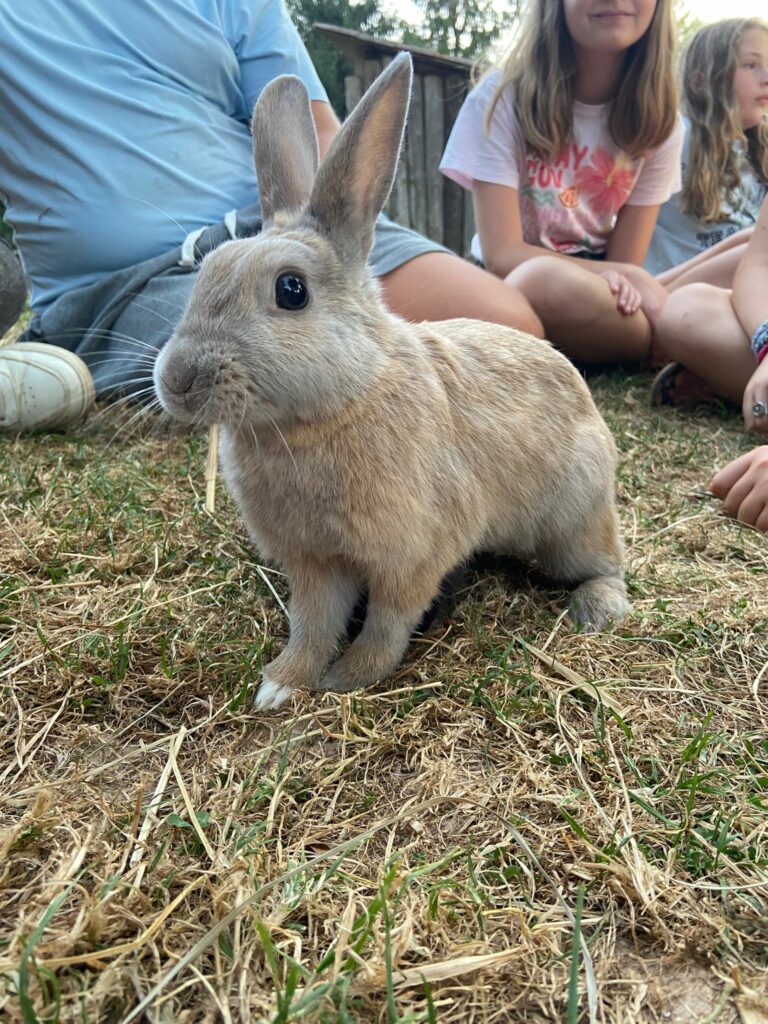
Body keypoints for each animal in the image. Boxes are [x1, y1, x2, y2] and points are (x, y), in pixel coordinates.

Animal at [153, 53, 631, 711]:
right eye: (205, 273)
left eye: (291, 290)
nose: (177, 379)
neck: (336, 406)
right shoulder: (314, 563)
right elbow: (312, 623)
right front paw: (281, 684)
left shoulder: (411, 556)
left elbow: (386, 621)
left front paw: (349, 678)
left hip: (573, 521)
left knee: (606, 564)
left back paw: (597, 607)